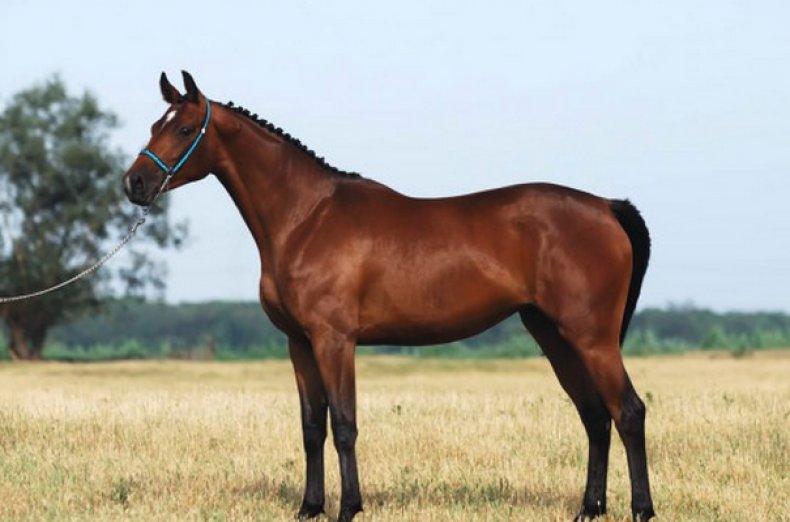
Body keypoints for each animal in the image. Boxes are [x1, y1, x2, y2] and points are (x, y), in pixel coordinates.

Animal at [123, 71, 655, 522]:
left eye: (185, 128)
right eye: (154, 125)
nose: (135, 183)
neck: (306, 217)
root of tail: (606, 207)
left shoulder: (334, 340)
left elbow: (344, 424)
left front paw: (347, 508)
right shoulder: (299, 343)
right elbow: (312, 426)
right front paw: (309, 508)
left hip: (591, 338)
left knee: (627, 412)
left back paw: (641, 510)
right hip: (552, 334)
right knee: (594, 415)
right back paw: (589, 509)